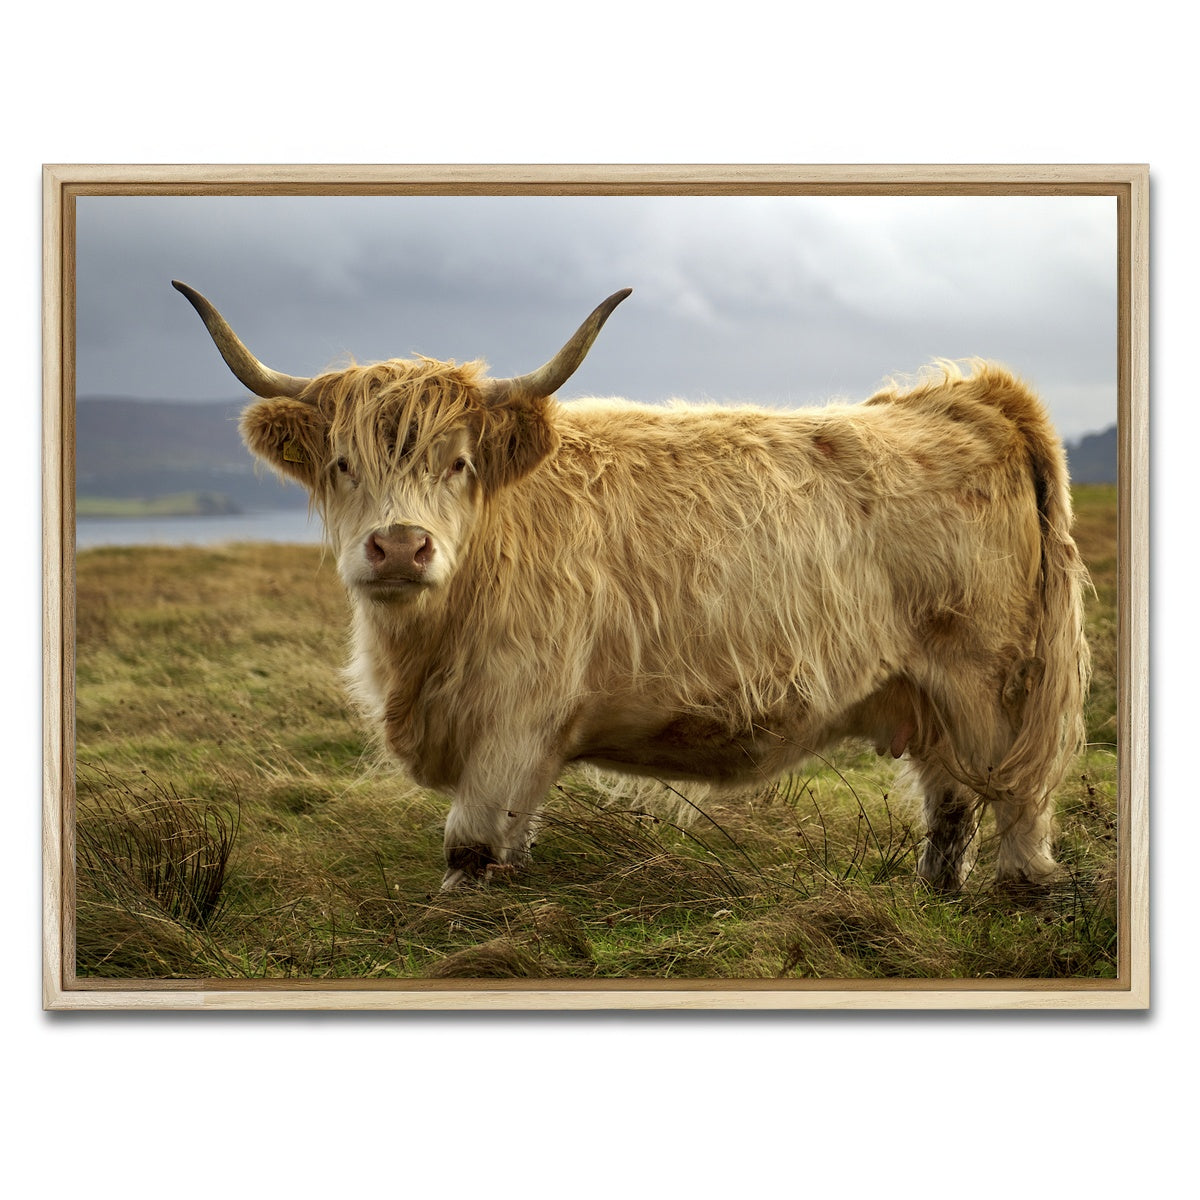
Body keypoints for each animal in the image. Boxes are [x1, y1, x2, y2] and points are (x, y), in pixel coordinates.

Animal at [173, 280, 1091, 892]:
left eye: (460, 463)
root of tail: (968, 395)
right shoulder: (528, 740)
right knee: (950, 801)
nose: (400, 547)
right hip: (927, 690)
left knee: (1016, 800)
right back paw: (933, 896)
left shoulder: (513, 716)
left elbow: (468, 849)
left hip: (992, 682)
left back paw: (1016, 894)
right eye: (341, 464)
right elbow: (511, 845)